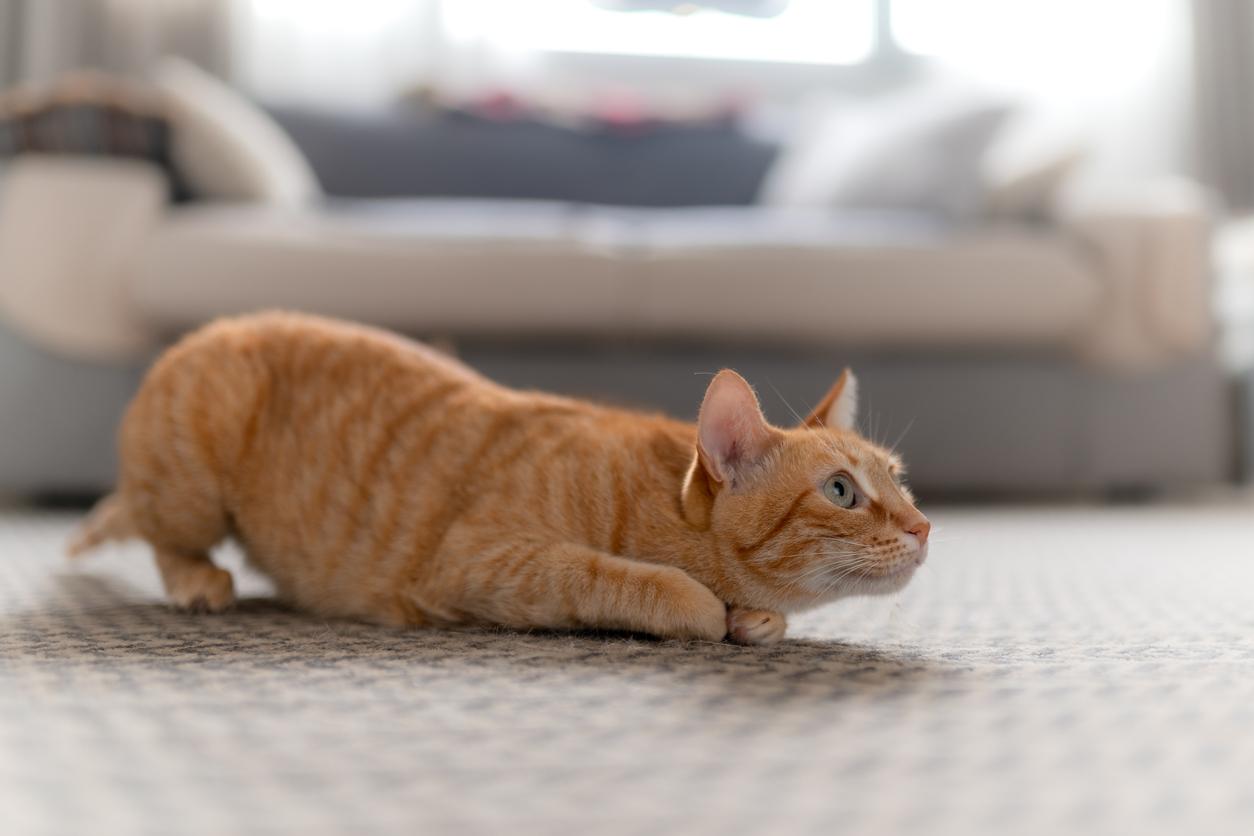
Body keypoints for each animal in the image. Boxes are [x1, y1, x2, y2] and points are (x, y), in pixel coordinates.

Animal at [71, 310, 932, 646]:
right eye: (842, 491)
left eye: (899, 480)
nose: (925, 527)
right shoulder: (481, 562)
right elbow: (638, 584)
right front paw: (707, 606)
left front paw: (758, 618)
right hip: (192, 475)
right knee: (161, 536)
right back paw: (196, 579)